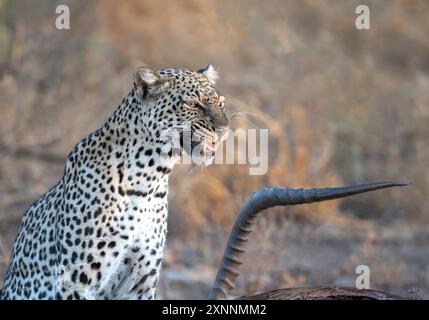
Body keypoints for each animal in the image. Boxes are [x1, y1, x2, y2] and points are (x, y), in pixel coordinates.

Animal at [0, 65, 229, 300]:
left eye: (221, 104)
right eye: (193, 104)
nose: (224, 128)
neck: (149, 179)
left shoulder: (141, 283)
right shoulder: (74, 282)